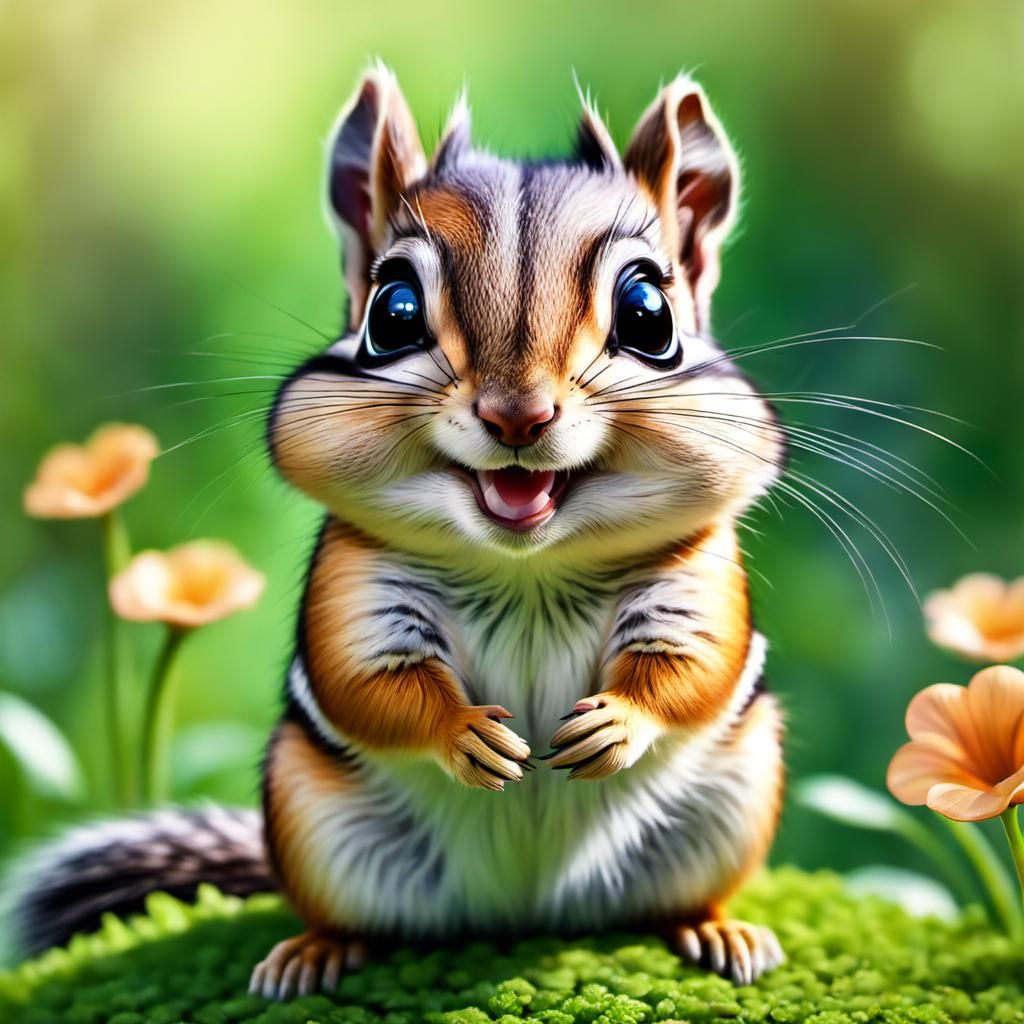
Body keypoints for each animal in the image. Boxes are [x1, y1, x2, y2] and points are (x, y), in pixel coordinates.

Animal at [11, 65, 787, 999]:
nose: (517, 415)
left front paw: (616, 723)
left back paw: (717, 931)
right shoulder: (356, 587)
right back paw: (314, 952)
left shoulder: (695, 581)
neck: (527, 567)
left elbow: (692, 668)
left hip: (734, 802)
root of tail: (524, 915)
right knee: (346, 915)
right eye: (393, 311)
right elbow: (370, 684)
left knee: (682, 897)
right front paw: (465, 733)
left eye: (647, 312)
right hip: (310, 817)